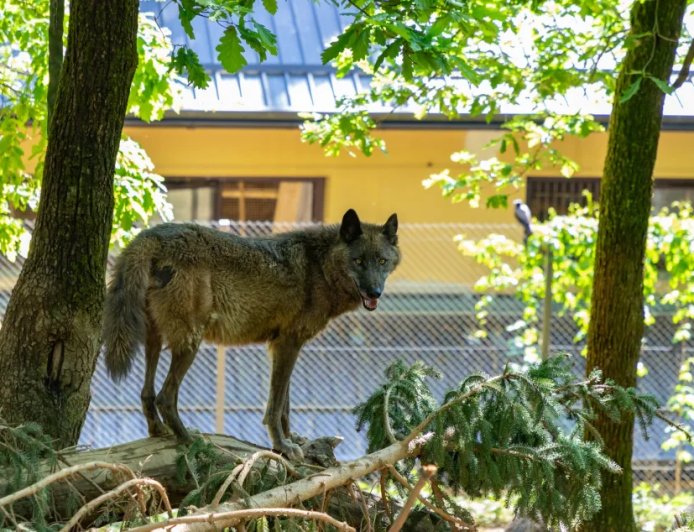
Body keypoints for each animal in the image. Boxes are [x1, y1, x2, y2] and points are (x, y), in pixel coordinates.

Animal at [102, 209, 400, 460]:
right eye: (358, 261)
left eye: (381, 261)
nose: (375, 293)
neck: (319, 267)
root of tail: (151, 235)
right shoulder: (289, 344)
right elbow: (275, 406)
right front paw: (282, 446)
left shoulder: (282, 346)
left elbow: (285, 404)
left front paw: (293, 440)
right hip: (190, 343)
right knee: (165, 397)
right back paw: (192, 441)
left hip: (155, 339)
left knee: (146, 393)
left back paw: (159, 431)